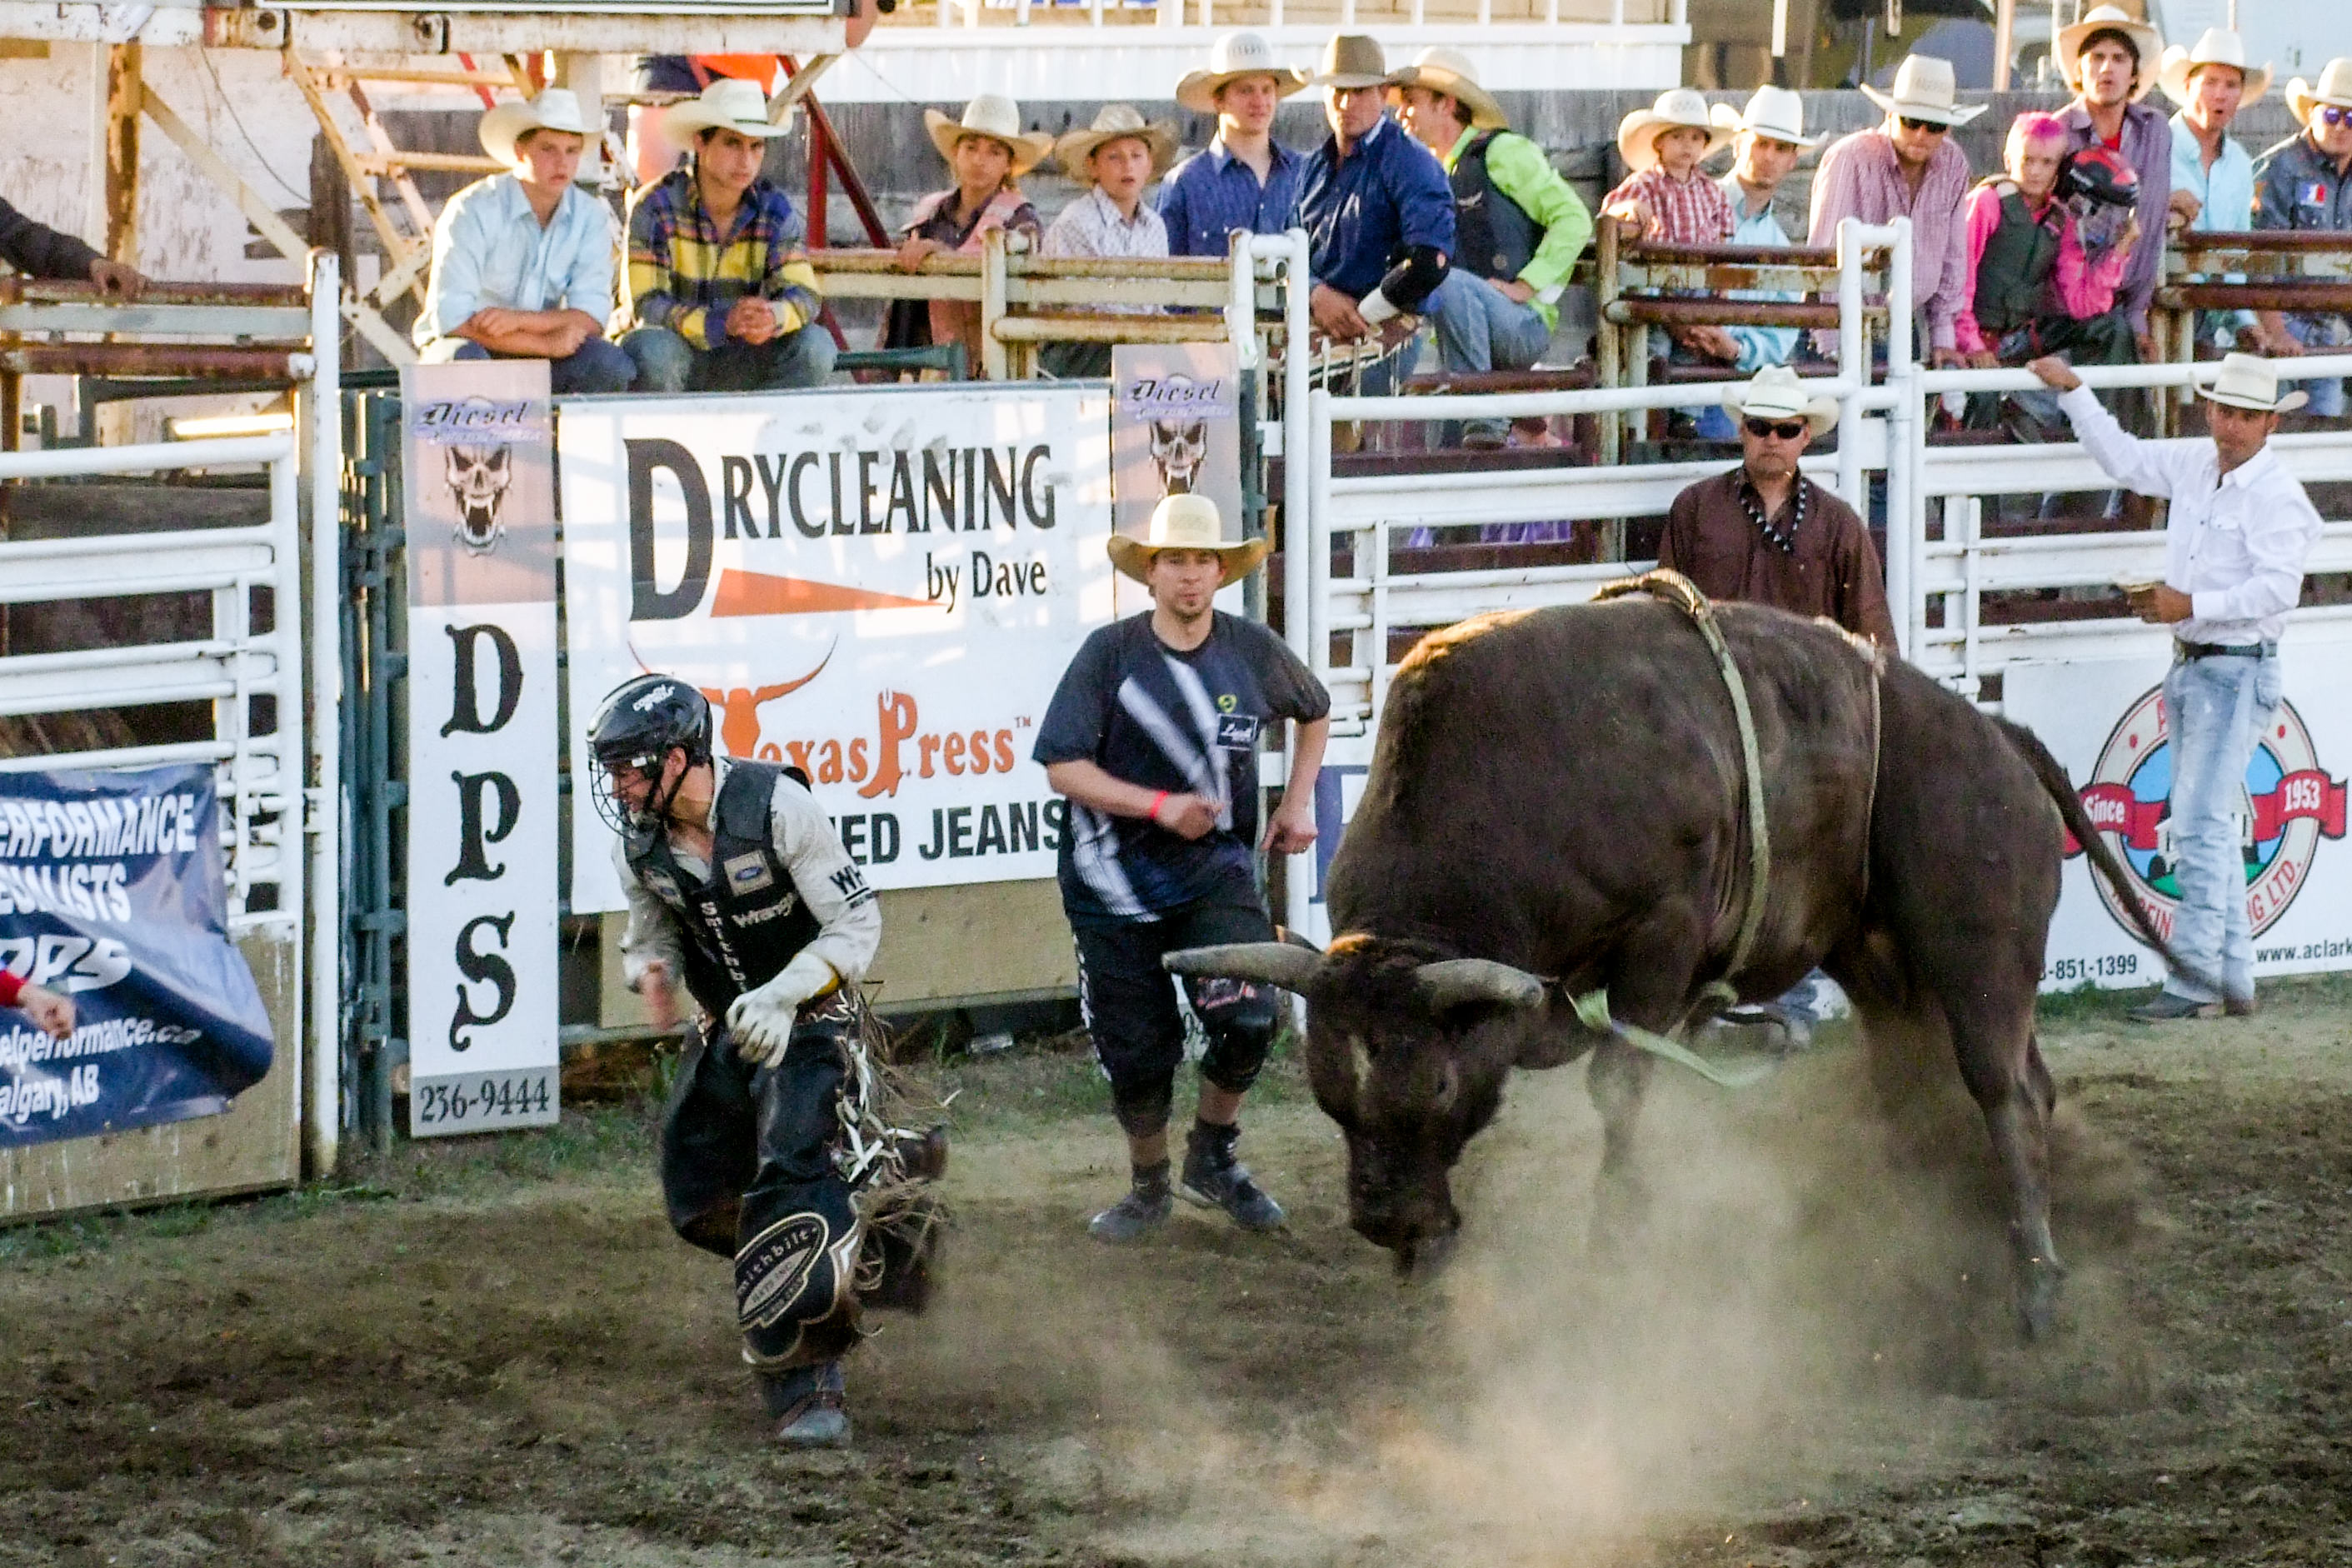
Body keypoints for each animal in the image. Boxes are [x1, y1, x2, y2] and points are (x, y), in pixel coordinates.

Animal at [1167, 594, 2179, 1340]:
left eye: (1442, 1086)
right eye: (1333, 1096)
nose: (1387, 1223)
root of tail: (1999, 736)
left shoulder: (1661, 938)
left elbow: (1621, 1089)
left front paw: (1614, 1248)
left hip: (1977, 956)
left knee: (2002, 1090)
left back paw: (2035, 1283)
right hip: (1883, 966)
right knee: (1940, 1085)